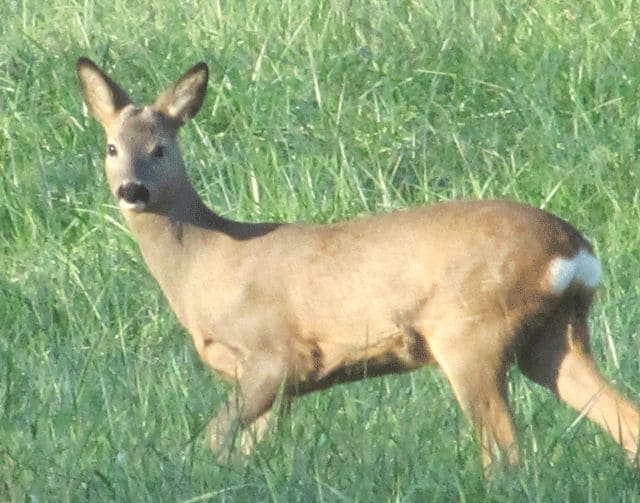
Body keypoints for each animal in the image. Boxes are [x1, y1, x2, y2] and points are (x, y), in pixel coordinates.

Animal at [76, 58, 640, 472]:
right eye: (111, 146)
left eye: (160, 148)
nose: (132, 190)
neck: (206, 262)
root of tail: (574, 250)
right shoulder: (281, 382)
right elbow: (246, 450)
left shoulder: (277, 353)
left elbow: (213, 439)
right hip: (553, 336)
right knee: (622, 419)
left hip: (471, 329)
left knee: (505, 449)